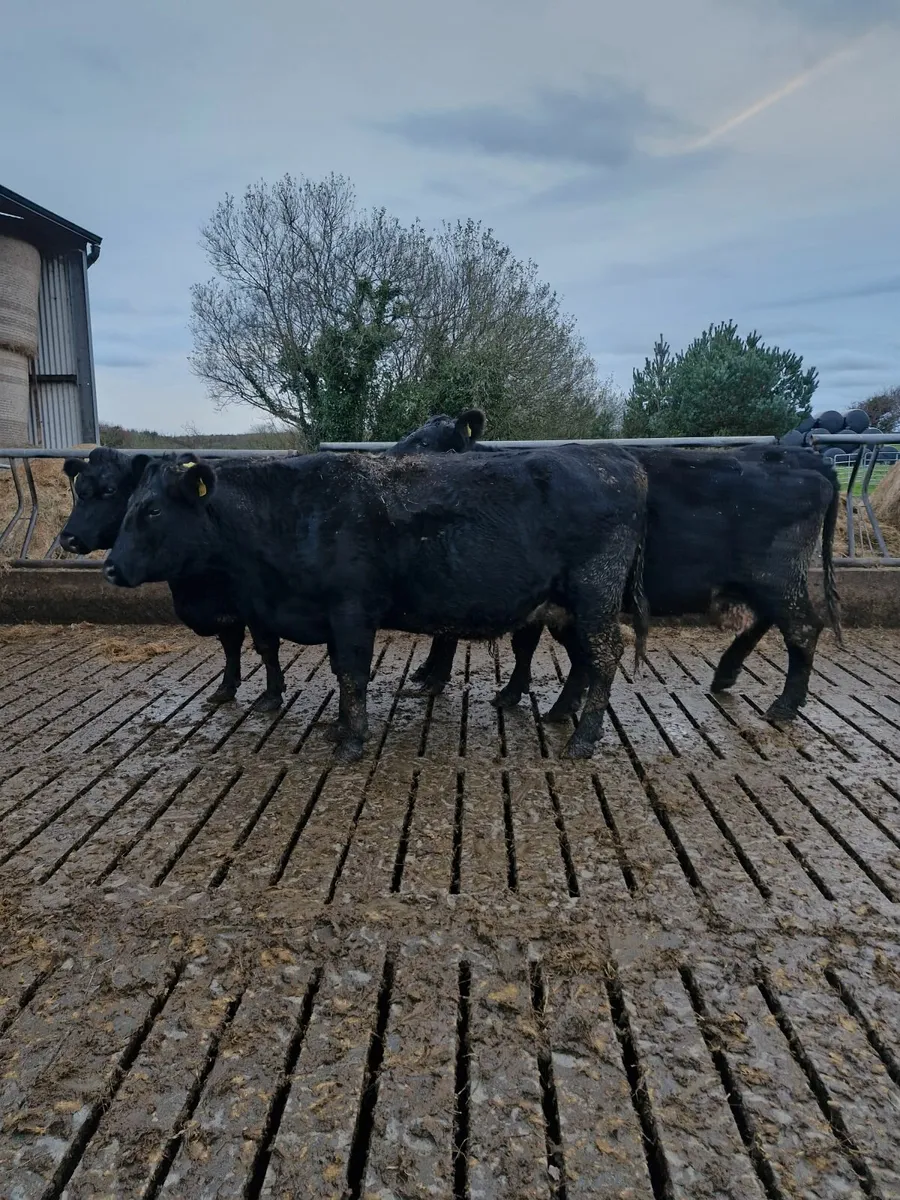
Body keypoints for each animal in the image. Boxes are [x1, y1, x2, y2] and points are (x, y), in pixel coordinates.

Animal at [57, 409, 488, 711]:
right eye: (80, 490)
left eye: (110, 490)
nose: (68, 538)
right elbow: (231, 645)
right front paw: (226, 688)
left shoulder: (250, 601)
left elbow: (264, 646)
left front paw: (269, 695)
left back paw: (434, 678)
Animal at [102, 445, 649, 762]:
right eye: (127, 505)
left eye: (152, 510)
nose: (109, 567)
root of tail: (620, 461)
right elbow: (338, 671)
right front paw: (340, 728)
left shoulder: (351, 610)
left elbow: (351, 673)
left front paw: (351, 742)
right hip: (566, 607)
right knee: (583, 659)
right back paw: (558, 713)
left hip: (594, 594)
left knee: (606, 656)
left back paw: (583, 740)